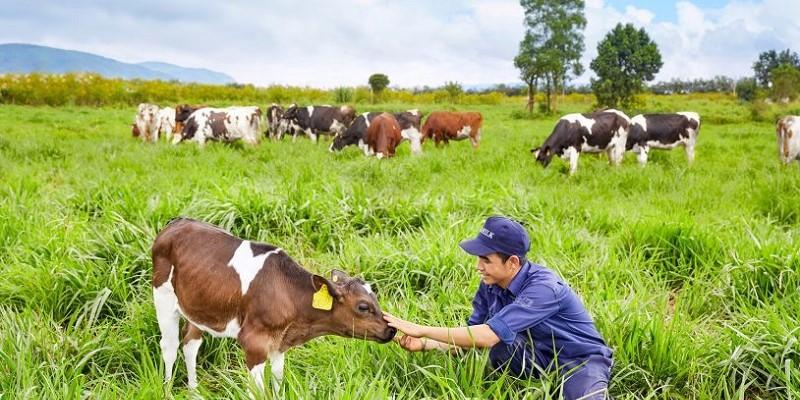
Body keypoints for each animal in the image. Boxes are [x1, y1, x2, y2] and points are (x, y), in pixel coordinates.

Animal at [151, 217, 396, 392]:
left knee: (190, 344)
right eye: (363, 307)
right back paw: (168, 391)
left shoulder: (279, 344)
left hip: (199, 304)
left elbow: (278, 381)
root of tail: (177, 221)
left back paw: (194, 391)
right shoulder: (254, 343)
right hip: (163, 296)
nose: (391, 329)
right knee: (169, 347)